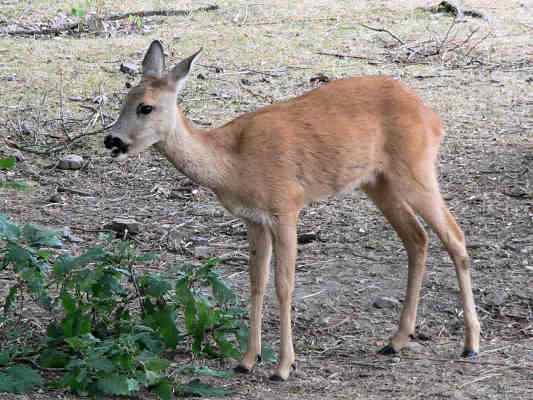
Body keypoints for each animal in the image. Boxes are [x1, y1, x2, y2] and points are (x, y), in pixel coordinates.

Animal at [105, 41, 482, 382]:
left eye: (146, 107)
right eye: (124, 99)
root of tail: (433, 118)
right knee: (417, 238)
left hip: (416, 170)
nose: (112, 140)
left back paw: (470, 344)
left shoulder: (286, 206)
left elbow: (284, 285)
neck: (233, 163)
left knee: (455, 236)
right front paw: (247, 360)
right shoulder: (253, 219)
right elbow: (256, 282)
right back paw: (396, 340)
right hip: (378, 182)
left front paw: (284, 367)